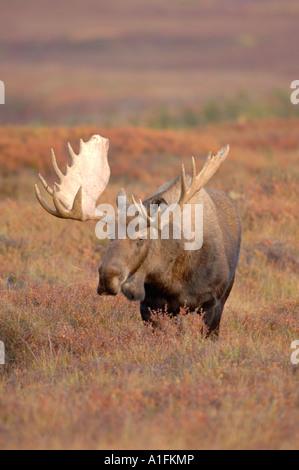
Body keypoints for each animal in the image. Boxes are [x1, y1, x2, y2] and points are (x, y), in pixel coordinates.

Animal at [34, 134, 241, 336]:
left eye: (141, 237)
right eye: (109, 235)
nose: (107, 278)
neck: (170, 280)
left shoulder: (213, 304)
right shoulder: (150, 307)